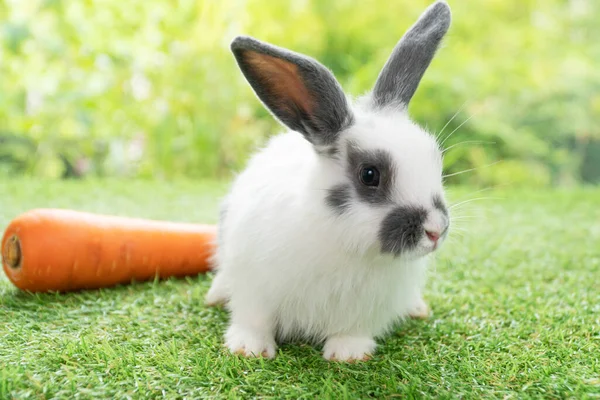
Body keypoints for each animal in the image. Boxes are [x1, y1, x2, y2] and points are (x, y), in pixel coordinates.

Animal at [206, 0, 450, 362]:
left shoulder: (367, 308)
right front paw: (249, 349)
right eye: (369, 174)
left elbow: (352, 330)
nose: (435, 230)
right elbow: (254, 319)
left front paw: (349, 355)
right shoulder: (254, 286)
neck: (346, 242)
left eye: (436, 159)